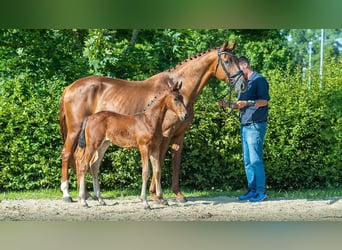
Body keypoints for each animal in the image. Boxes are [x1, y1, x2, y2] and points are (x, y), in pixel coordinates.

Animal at [59, 40, 246, 202]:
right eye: (227, 60)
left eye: (237, 60)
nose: (242, 84)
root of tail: (69, 88)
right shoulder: (165, 135)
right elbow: (159, 163)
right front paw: (155, 194)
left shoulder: (179, 135)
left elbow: (175, 163)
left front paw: (178, 194)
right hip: (75, 131)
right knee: (68, 154)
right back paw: (68, 194)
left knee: (81, 159)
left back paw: (87, 195)